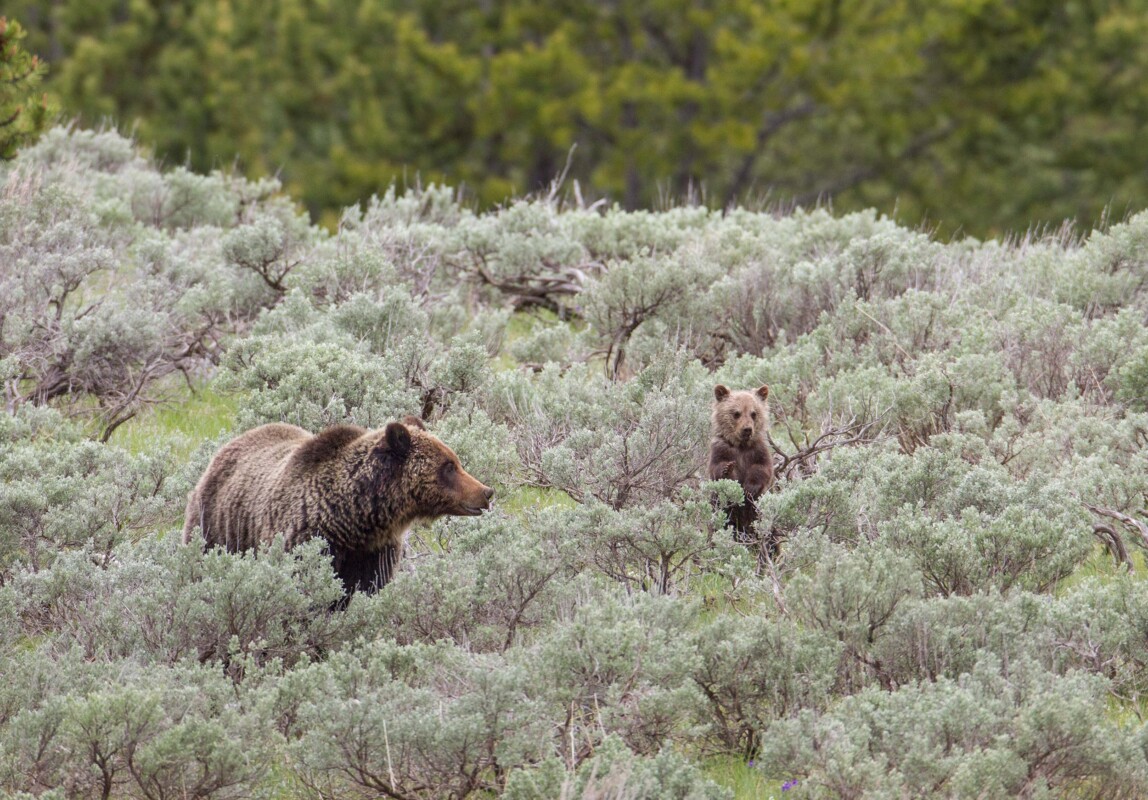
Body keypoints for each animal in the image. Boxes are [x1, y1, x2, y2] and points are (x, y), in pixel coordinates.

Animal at [183, 416, 494, 595]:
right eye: (449, 466)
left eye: (455, 461)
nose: (486, 492)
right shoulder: (306, 539)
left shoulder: (374, 553)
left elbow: (368, 589)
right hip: (216, 527)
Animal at [706, 384, 775, 551]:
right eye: (736, 413)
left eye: (754, 413)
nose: (747, 429)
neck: (741, 446)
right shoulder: (721, 449)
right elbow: (717, 467)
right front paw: (728, 469)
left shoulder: (758, 451)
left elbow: (762, 469)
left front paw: (750, 488)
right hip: (723, 513)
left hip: (760, 515)